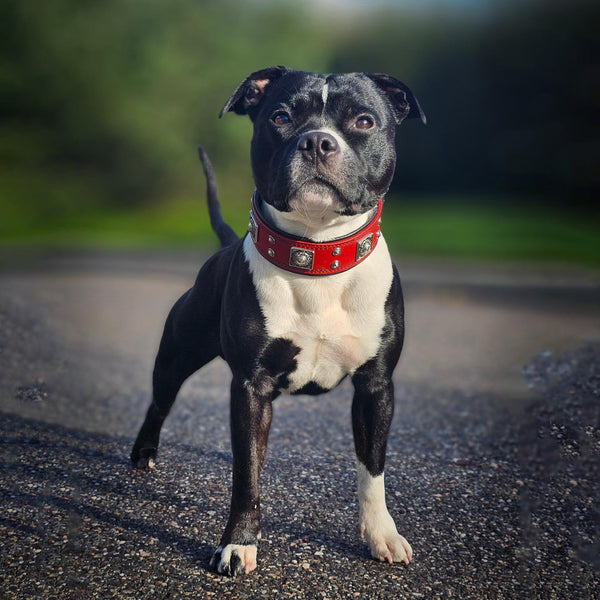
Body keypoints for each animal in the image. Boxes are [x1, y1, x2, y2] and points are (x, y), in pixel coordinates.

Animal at [130, 67, 426, 576]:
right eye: (282, 117)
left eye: (364, 121)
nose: (317, 142)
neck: (317, 253)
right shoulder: (251, 387)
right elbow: (247, 473)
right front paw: (238, 544)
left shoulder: (376, 386)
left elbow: (372, 470)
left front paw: (382, 535)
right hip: (177, 354)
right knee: (159, 401)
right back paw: (143, 454)